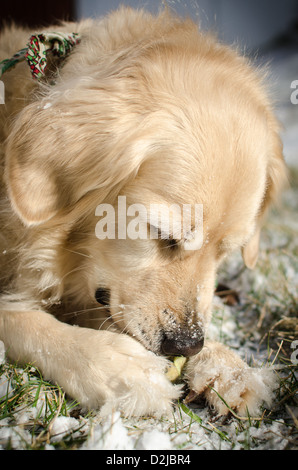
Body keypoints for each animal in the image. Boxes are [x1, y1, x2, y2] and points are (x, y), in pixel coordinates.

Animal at [0, 7, 288, 416]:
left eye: (226, 252)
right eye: (162, 235)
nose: (187, 345)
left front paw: (226, 365)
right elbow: (19, 318)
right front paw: (116, 367)